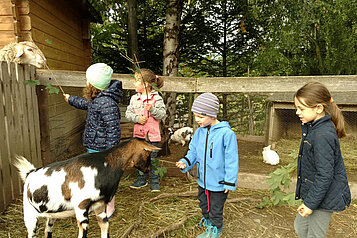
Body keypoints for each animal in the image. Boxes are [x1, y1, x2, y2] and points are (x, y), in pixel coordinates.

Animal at [13, 139, 159, 238]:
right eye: (148, 153)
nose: (149, 168)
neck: (104, 165)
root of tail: (29, 173)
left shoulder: (100, 206)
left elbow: (105, 227)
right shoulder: (81, 207)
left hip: (51, 215)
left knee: (47, 231)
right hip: (30, 215)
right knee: (30, 233)